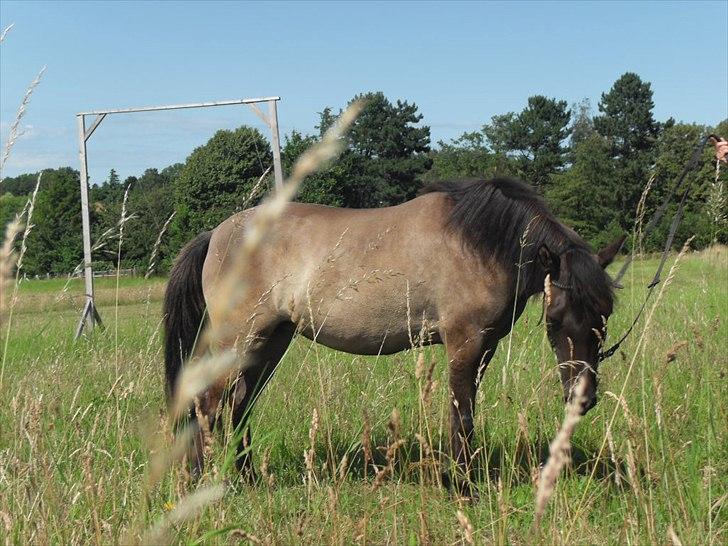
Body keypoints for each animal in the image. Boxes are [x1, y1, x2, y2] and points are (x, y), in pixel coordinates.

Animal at [164, 177, 620, 492]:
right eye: (556, 319)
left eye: (605, 315)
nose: (583, 398)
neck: (479, 243)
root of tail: (215, 234)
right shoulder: (464, 342)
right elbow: (461, 414)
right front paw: (461, 486)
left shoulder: (485, 347)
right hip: (238, 341)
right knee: (208, 406)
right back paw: (206, 484)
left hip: (270, 342)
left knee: (240, 406)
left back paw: (247, 478)